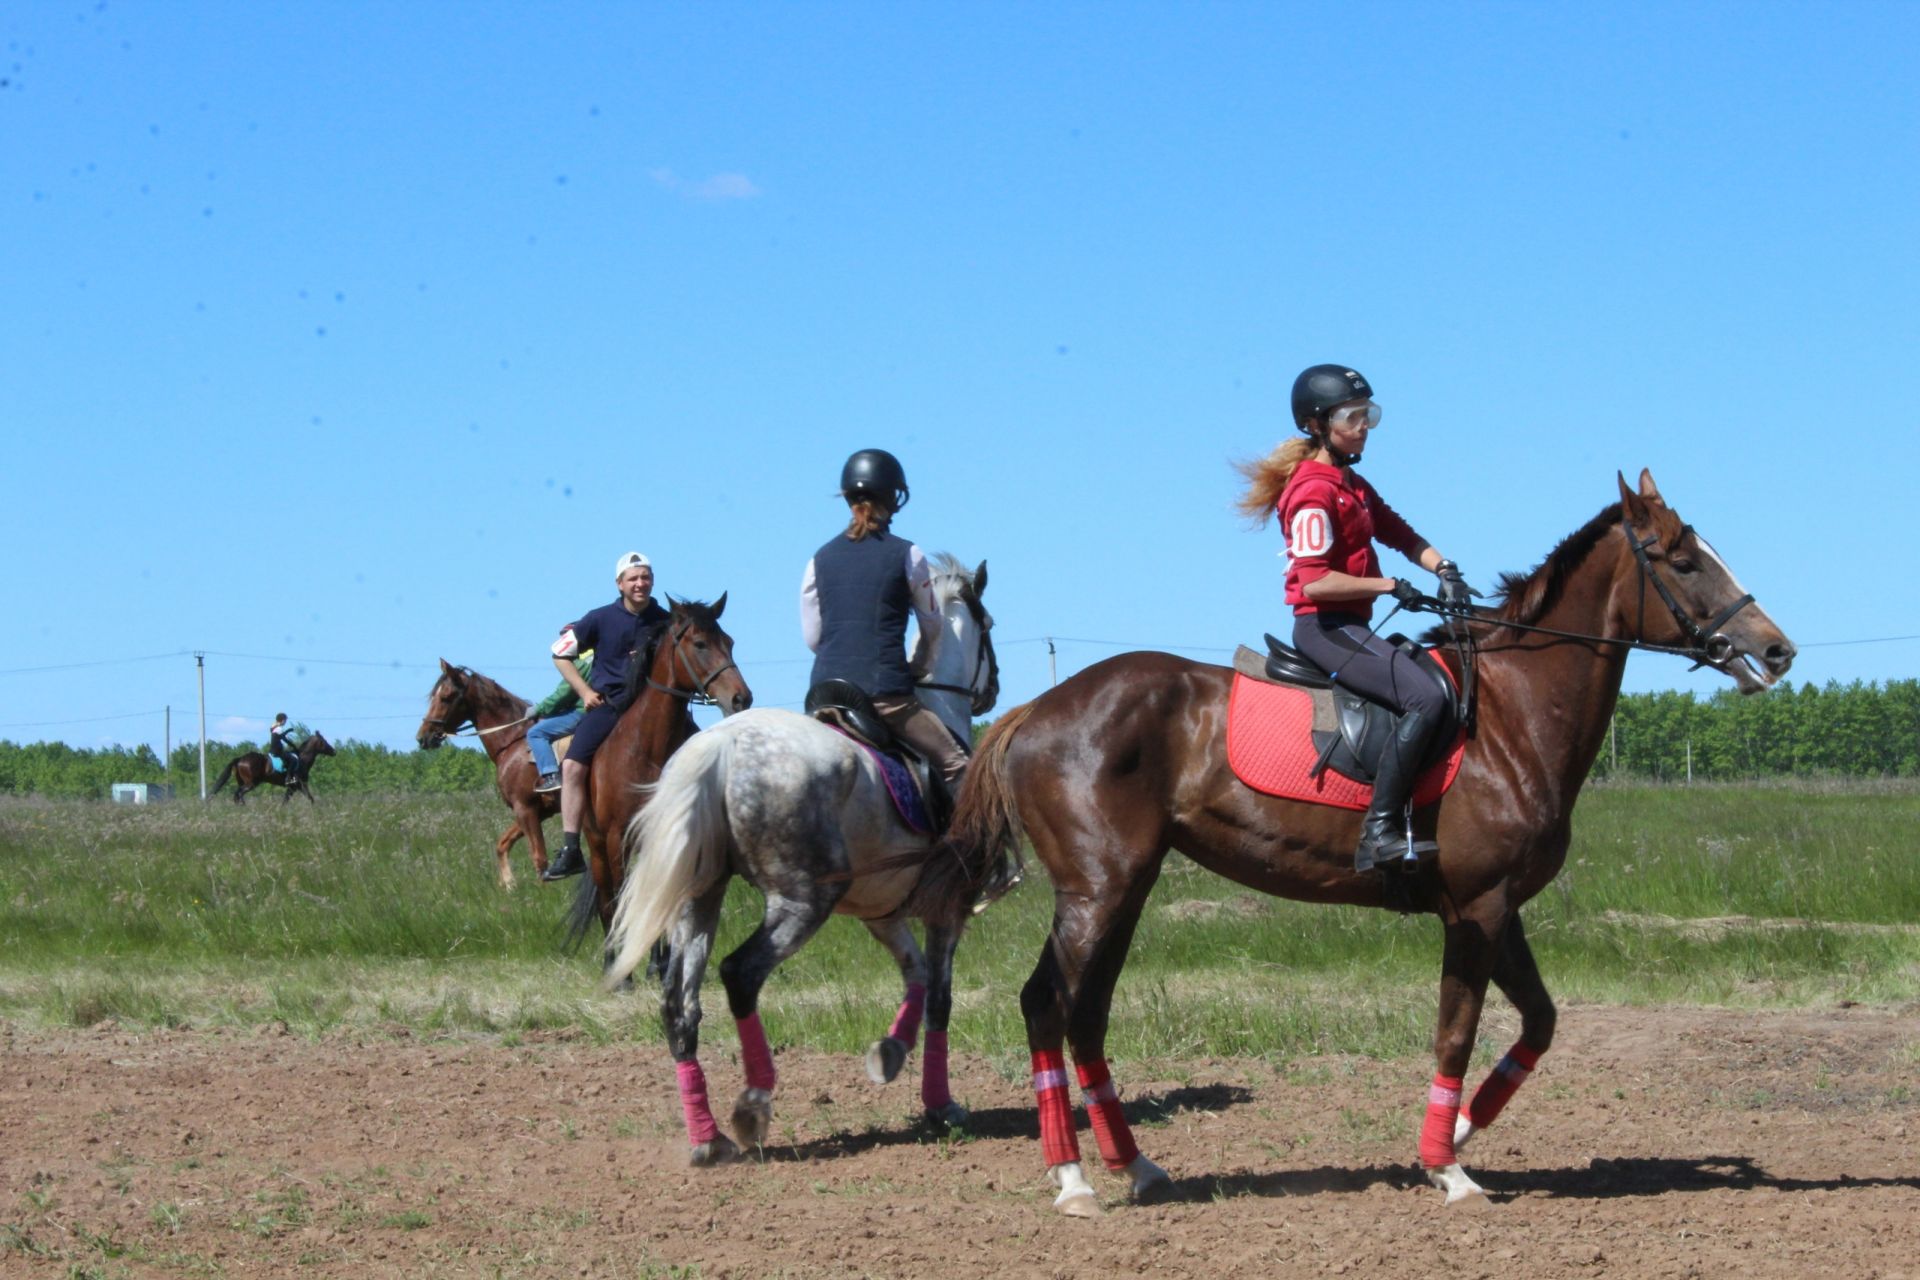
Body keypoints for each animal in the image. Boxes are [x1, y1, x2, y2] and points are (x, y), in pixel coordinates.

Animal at [416, 667, 560, 886]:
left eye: (446, 697)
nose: (423, 737)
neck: (512, 742)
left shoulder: (525, 808)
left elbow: (539, 859)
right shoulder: (538, 811)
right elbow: (502, 844)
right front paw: (508, 884)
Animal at [606, 556, 1013, 1166]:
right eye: (987, 625)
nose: (992, 690)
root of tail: (719, 746)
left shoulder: (882, 913)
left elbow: (915, 974)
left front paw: (889, 1054)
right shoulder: (948, 910)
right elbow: (940, 999)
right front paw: (941, 1104)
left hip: (699, 900)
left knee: (680, 1003)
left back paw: (708, 1138)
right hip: (801, 903)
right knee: (739, 974)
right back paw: (753, 1107)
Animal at [936, 475, 1789, 1220]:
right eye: (1683, 560)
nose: (1778, 651)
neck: (1510, 715)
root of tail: (1037, 709)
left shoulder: (1500, 909)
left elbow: (1540, 1023)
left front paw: (1461, 1133)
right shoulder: (1475, 911)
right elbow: (1456, 1032)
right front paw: (1450, 1169)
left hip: (1127, 891)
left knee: (1086, 1014)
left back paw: (1138, 1167)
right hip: (1096, 890)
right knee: (1046, 1005)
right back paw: (1074, 1181)